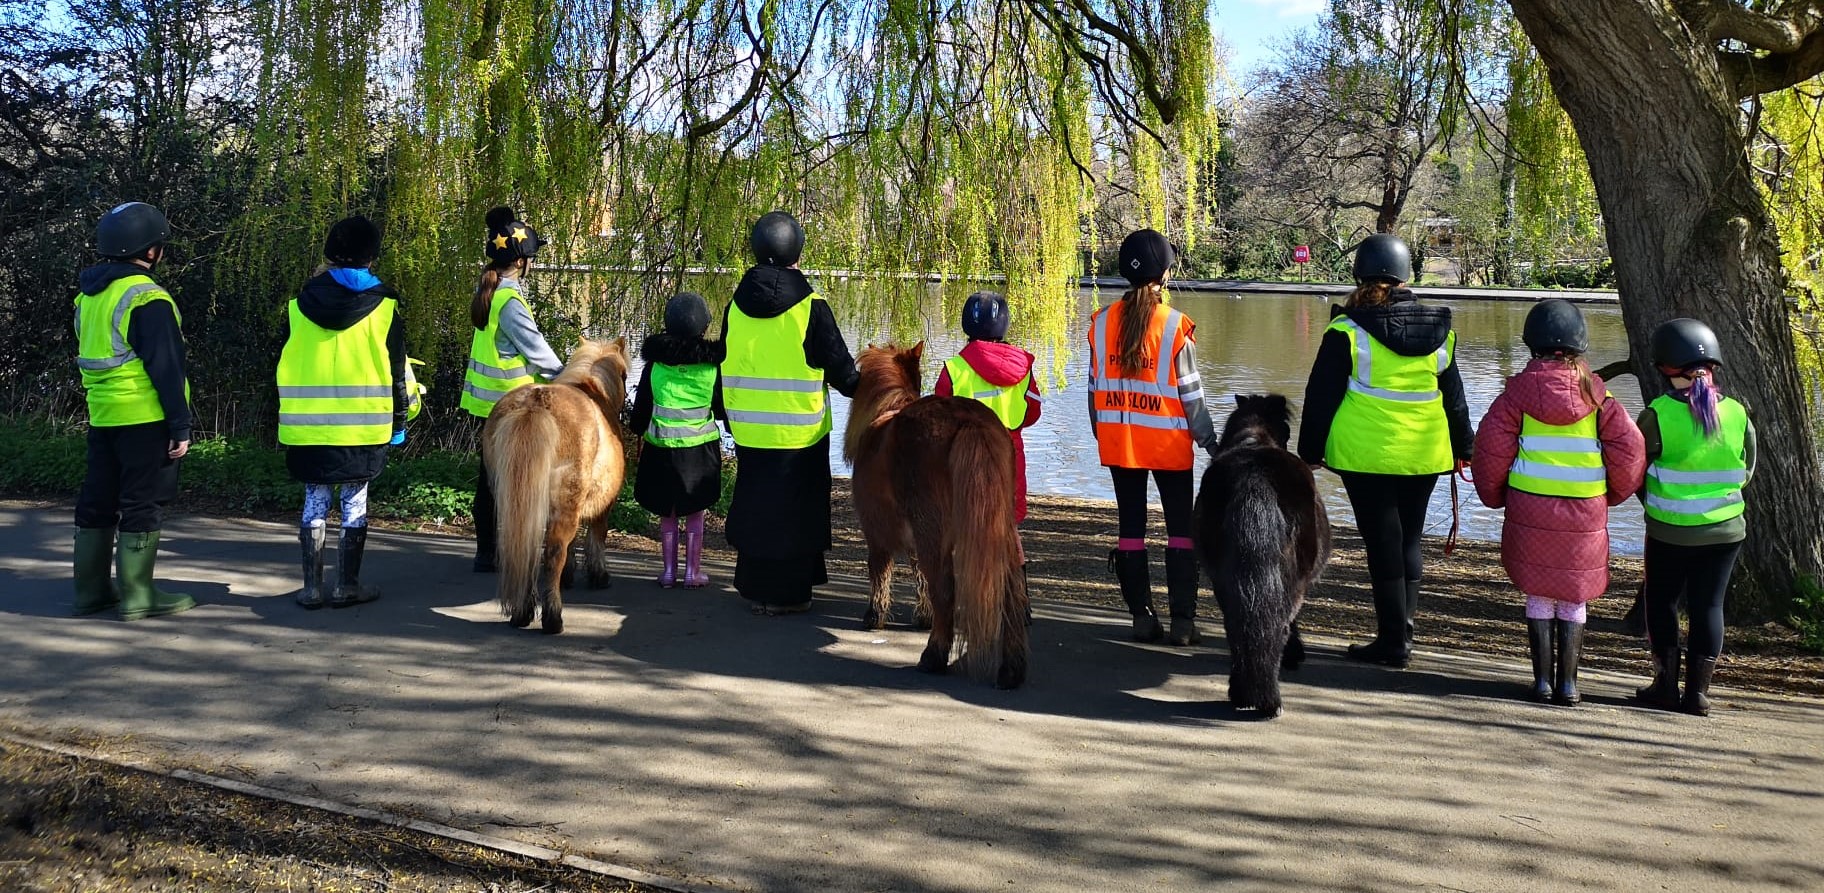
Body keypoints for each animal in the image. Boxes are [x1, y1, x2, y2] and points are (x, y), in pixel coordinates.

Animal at [481, 337, 631, 634]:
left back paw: (522, 612)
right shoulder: (603, 506)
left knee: (524, 551)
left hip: (516, 503)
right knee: (553, 553)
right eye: (624, 374)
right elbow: (595, 538)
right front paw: (599, 575)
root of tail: (535, 402)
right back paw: (552, 618)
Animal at [842, 342, 1028, 688]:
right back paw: (1012, 669)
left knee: (945, 588)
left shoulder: (877, 532)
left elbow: (880, 571)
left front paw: (875, 615)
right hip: (996, 530)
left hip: (933, 533)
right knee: (1010, 591)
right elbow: (918, 576)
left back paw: (934, 656)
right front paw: (923, 616)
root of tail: (968, 421)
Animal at [1189, 393, 1335, 714]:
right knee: (1279, 626)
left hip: (1223, 581)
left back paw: (1242, 693)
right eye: (1288, 429)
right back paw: (1268, 698)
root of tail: (1254, 477)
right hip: (1293, 584)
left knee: (1237, 627)